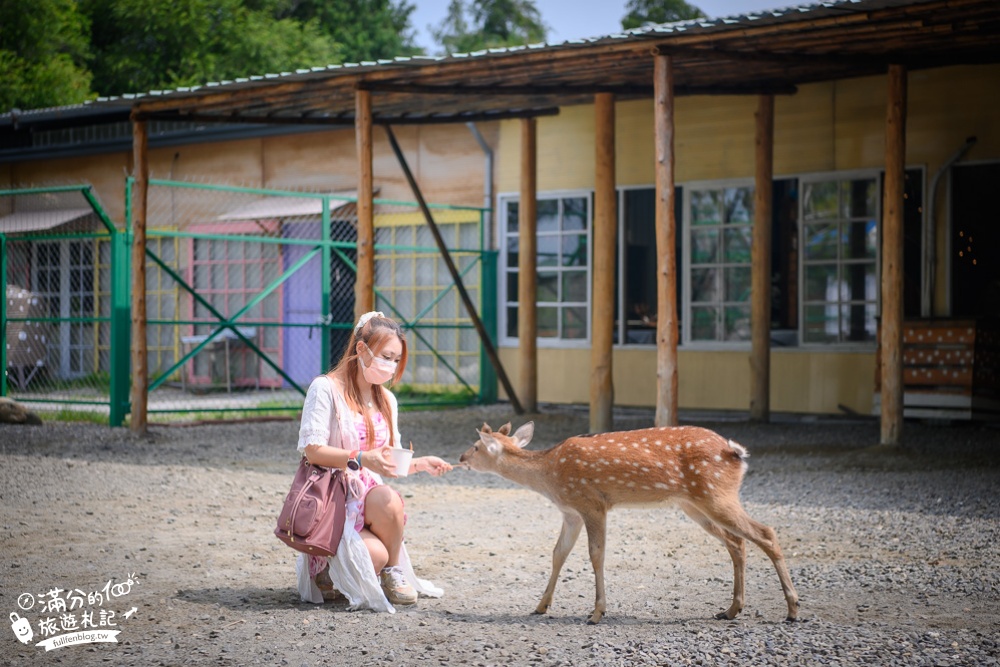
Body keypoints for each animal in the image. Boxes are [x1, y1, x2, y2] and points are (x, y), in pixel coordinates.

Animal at [458, 422, 796, 628]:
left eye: (476, 446)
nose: (460, 457)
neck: (549, 477)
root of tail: (735, 452)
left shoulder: (592, 503)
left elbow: (596, 555)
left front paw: (596, 612)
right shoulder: (570, 512)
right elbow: (558, 554)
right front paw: (540, 606)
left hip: (715, 495)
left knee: (765, 533)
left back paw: (792, 609)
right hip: (695, 504)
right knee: (736, 541)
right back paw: (730, 609)